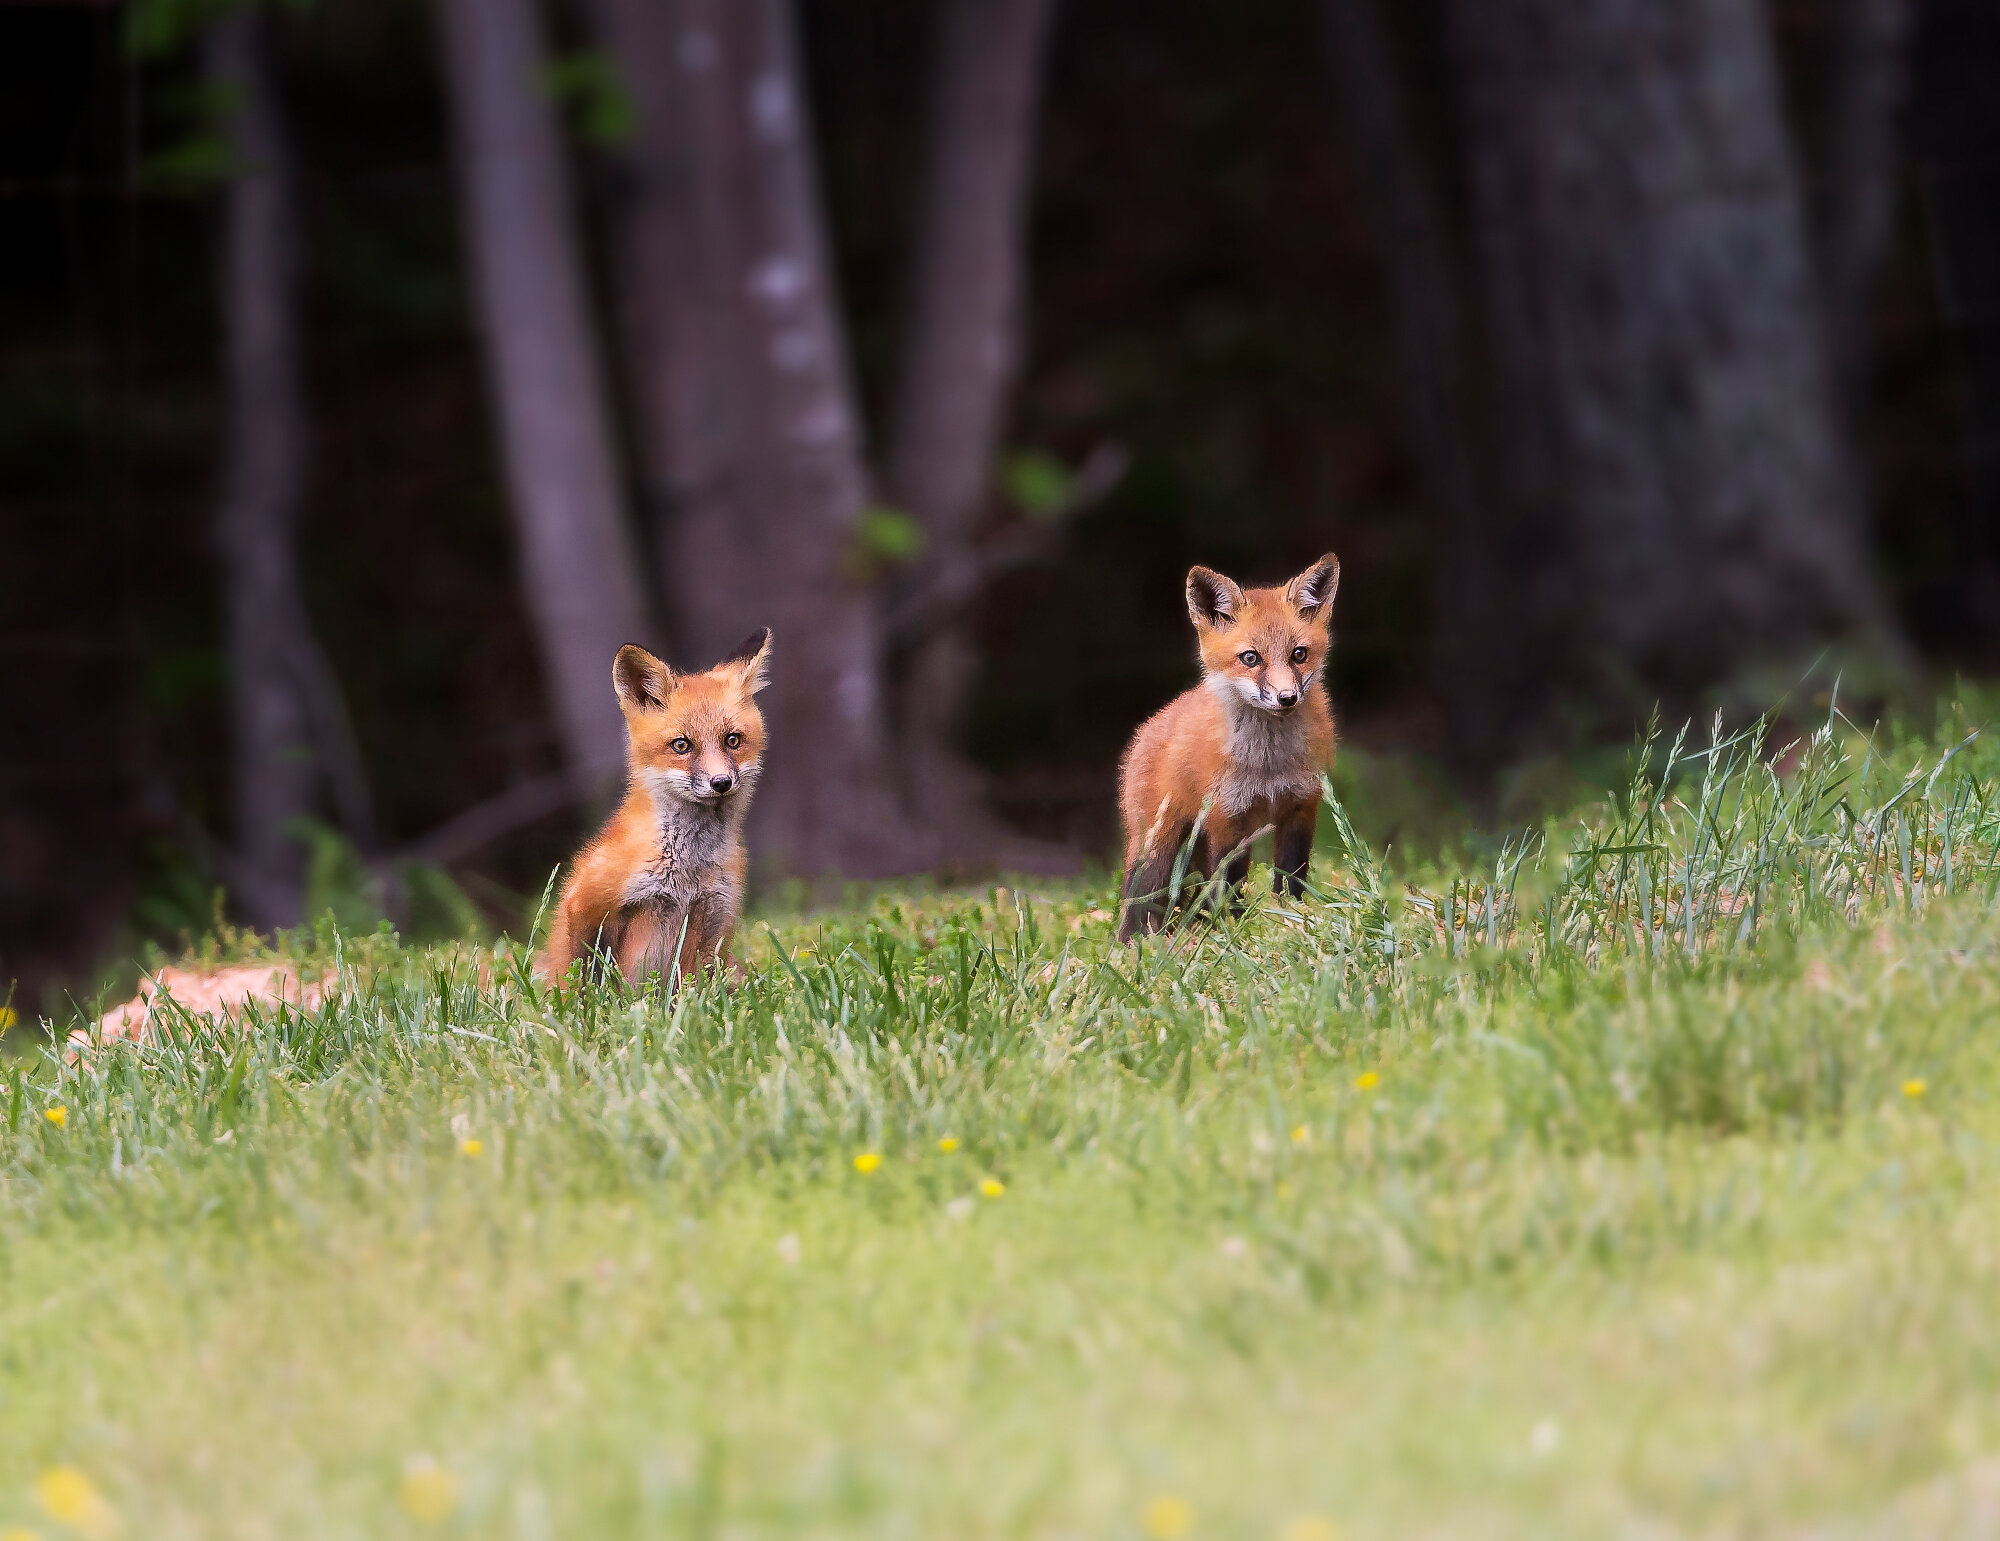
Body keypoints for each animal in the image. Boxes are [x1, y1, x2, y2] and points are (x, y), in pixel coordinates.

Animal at [538, 628, 773, 987]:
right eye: (681, 745)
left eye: (732, 740)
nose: (721, 782)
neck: (690, 869)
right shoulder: (586, 904)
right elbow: (584, 978)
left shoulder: (714, 917)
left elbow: (691, 989)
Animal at [1116, 553, 1340, 942]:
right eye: (1250, 658)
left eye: (1299, 654)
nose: (1287, 698)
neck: (1268, 764)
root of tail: (1149, 727)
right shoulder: (1226, 817)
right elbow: (1227, 885)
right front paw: (1232, 929)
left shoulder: (1301, 807)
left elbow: (1291, 879)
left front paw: (1289, 919)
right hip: (1159, 846)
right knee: (1139, 900)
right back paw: (1133, 944)